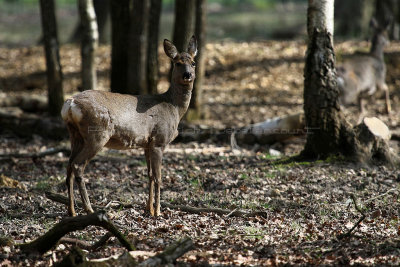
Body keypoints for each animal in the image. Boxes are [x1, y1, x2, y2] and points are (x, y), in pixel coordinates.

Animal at [60, 35, 197, 218]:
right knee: (77, 166)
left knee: (68, 166)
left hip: (75, 135)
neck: (173, 107)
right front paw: (158, 211)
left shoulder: (147, 144)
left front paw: (149, 209)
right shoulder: (159, 140)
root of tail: (71, 103)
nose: (188, 75)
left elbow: (150, 175)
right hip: (97, 134)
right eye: (177, 63)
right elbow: (158, 177)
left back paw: (72, 211)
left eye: (193, 62)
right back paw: (89, 209)